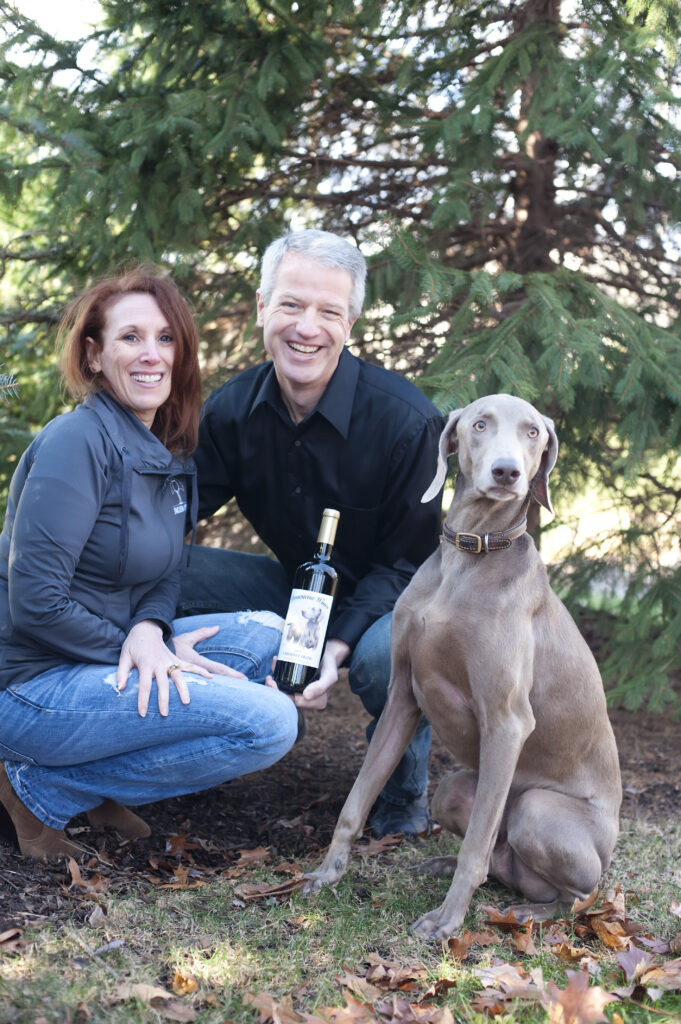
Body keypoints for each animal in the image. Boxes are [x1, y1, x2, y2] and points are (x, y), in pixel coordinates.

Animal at [307, 395, 622, 937]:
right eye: (479, 424)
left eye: (534, 432)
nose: (507, 472)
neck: (471, 551)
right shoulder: (402, 697)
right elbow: (356, 801)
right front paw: (328, 873)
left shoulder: (508, 721)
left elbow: (476, 844)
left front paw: (447, 921)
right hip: (454, 789)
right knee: (496, 857)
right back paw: (445, 865)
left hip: (538, 811)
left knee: (576, 894)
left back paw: (530, 912)